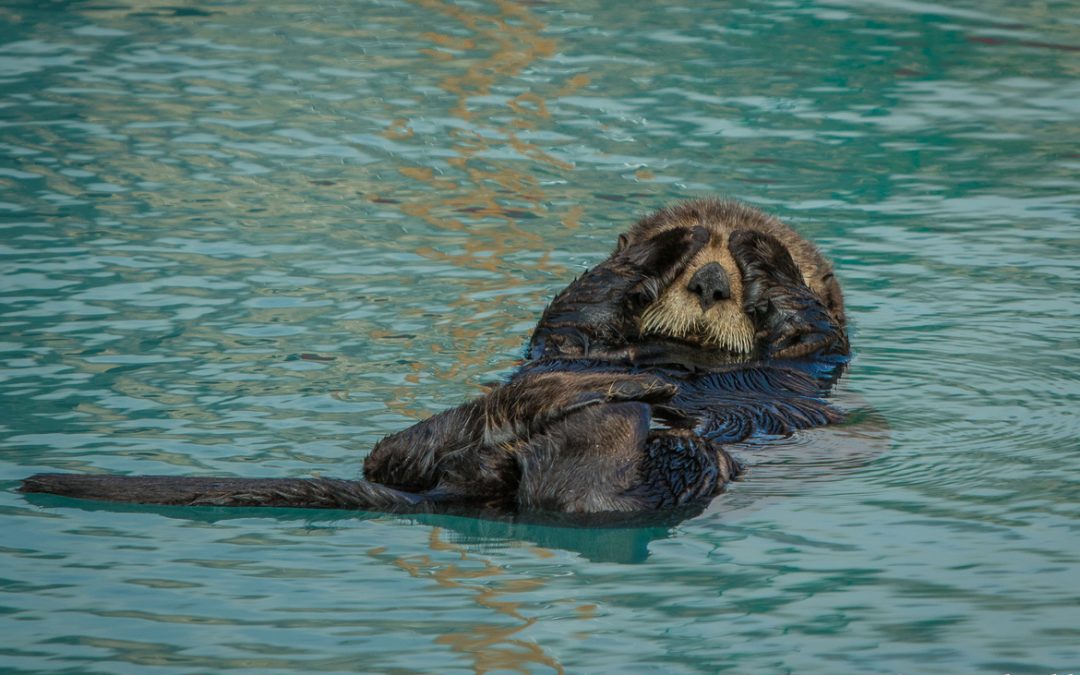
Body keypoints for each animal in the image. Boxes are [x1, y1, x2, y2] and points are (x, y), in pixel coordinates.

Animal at [21, 199, 849, 524]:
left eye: (737, 283)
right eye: (687, 274)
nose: (710, 280)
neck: (683, 357)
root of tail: (476, 477)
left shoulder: (819, 356)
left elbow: (811, 326)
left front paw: (761, 247)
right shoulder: (566, 335)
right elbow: (578, 304)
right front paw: (667, 238)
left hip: (677, 471)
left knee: (585, 490)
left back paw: (626, 395)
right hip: (435, 442)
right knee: (403, 449)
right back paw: (598, 389)